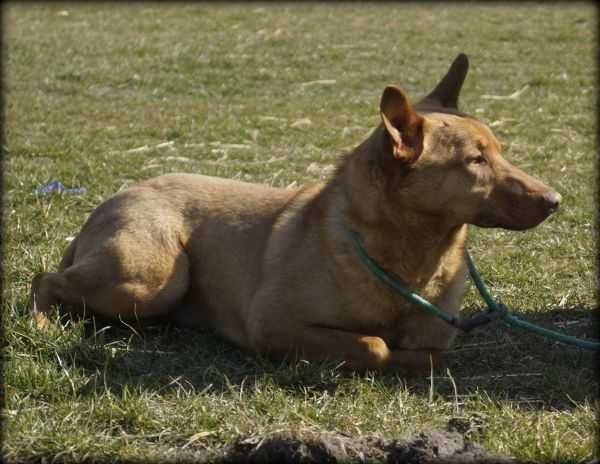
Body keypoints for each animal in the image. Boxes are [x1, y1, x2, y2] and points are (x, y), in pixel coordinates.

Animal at [30, 54, 560, 374]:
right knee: (44, 280)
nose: (556, 199)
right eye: (475, 161)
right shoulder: (272, 322)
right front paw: (385, 354)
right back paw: (42, 325)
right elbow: (373, 344)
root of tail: (115, 197)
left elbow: (428, 354)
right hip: (152, 279)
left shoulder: (438, 335)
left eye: (500, 151)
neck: (413, 261)